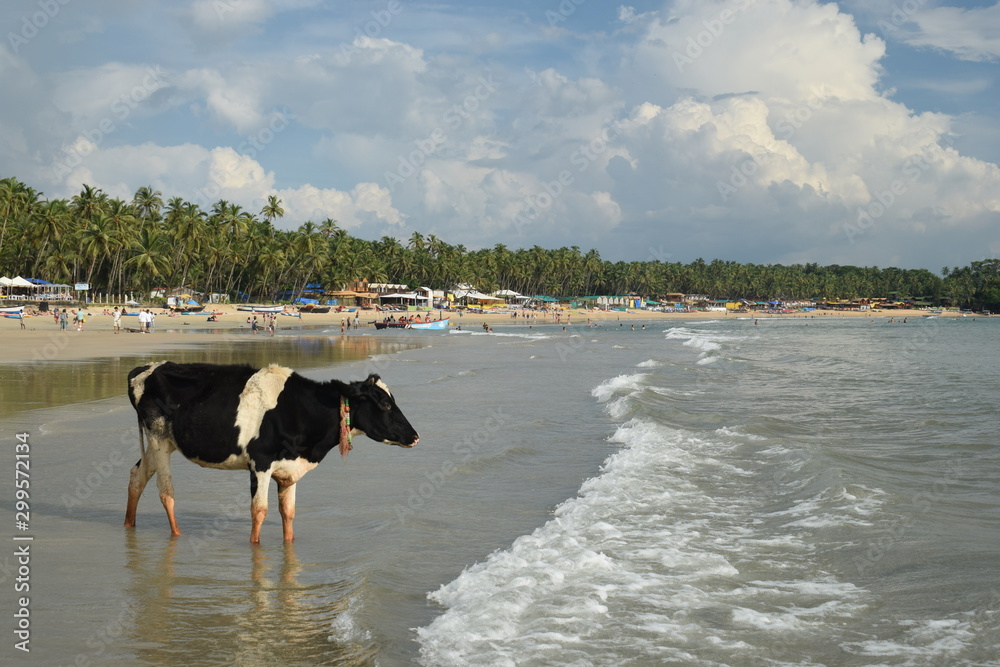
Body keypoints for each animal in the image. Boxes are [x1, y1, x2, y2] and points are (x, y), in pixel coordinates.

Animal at [125, 362, 418, 544]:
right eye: (384, 404)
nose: (415, 436)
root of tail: (145, 368)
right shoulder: (261, 461)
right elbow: (259, 510)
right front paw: (255, 546)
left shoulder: (290, 467)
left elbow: (288, 511)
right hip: (158, 439)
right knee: (166, 492)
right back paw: (176, 535)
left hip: (162, 442)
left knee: (137, 476)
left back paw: (129, 525)